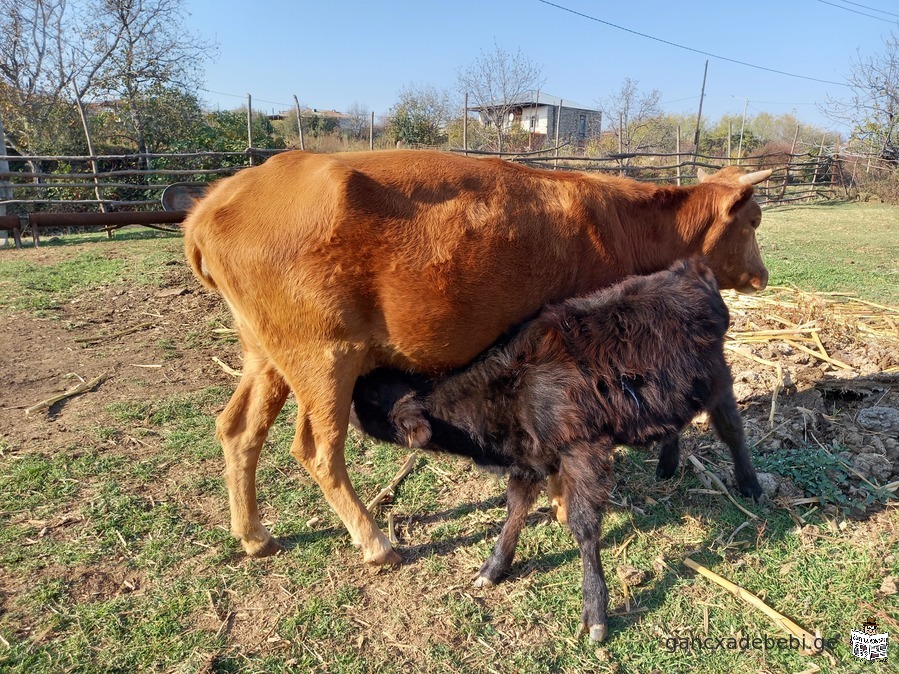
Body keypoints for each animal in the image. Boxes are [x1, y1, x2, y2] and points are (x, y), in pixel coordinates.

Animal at [183, 148, 772, 560]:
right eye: (754, 221)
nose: (763, 276)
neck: (621, 223)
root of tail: (213, 202)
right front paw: (562, 503)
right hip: (324, 356)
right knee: (316, 449)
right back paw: (376, 544)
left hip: (265, 353)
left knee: (238, 429)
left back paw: (255, 536)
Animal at [350, 256, 760, 640]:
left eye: (372, 396)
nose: (348, 394)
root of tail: (689, 269)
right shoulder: (530, 458)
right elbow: (515, 509)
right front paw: (494, 567)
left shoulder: (582, 451)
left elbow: (583, 525)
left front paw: (595, 609)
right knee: (674, 425)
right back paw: (667, 465)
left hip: (718, 380)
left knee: (732, 432)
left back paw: (750, 486)